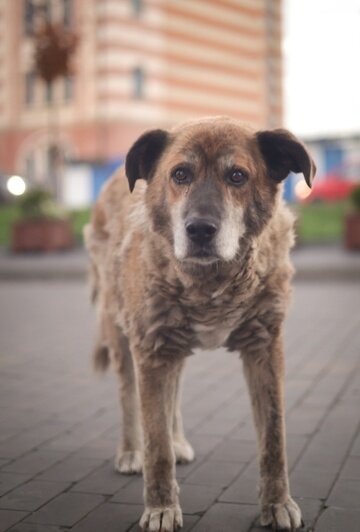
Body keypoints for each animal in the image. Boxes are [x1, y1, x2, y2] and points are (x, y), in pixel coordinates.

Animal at [83, 117, 316, 532]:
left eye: (237, 176)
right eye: (180, 174)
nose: (200, 229)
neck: (211, 282)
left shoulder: (264, 348)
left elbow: (274, 440)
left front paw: (277, 504)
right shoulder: (150, 349)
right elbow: (155, 441)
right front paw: (161, 507)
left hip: (171, 346)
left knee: (173, 392)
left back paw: (177, 442)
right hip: (124, 334)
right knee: (129, 396)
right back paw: (130, 451)